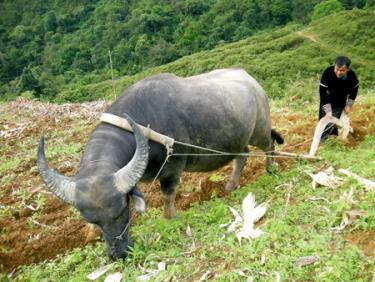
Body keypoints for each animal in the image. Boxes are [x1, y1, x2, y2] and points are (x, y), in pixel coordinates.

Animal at [39, 68, 284, 260]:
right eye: (93, 221)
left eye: (121, 211)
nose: (118, 254)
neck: (142, 129)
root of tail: (251, 80)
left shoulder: (172, 168)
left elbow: (168, 195)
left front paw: (169, 219)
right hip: (238, 140)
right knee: (242, 155)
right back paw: (232, 185)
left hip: (260, 130)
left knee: (269, 145)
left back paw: (270, 169)